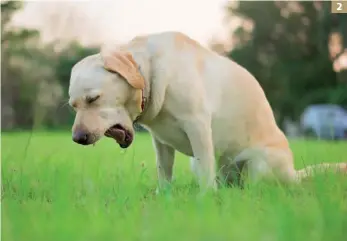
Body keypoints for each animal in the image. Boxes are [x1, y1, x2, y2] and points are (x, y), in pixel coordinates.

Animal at [69, 31, 346, 191]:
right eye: (73, 105)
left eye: (93, 99)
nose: (78, 138)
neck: (147, 71)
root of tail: (293, 174)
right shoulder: (161, 142)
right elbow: (164, 171)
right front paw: (164, 198)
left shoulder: (198, 126)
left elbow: (205, 171)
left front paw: (205, 200)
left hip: (258, 165)